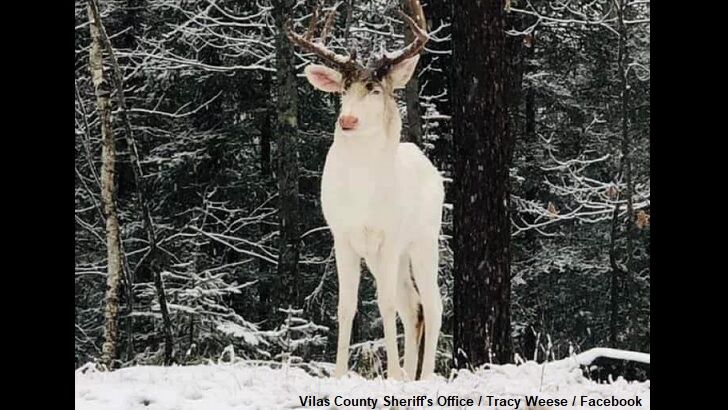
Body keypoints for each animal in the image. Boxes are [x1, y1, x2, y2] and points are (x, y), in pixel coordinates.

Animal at [288, 0, 446, 380]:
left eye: (374, 88)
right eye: (343, 89)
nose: (347, 120)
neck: (362, 197)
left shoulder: (389, 236)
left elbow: (384, 304)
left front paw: (391, 375)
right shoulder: (343, 237)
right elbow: (347, 306)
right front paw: (339, 374)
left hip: (423, 239)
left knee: (433, 304)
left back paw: (423, 376)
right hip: (387, 255)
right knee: (413, 305)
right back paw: (409, 375)